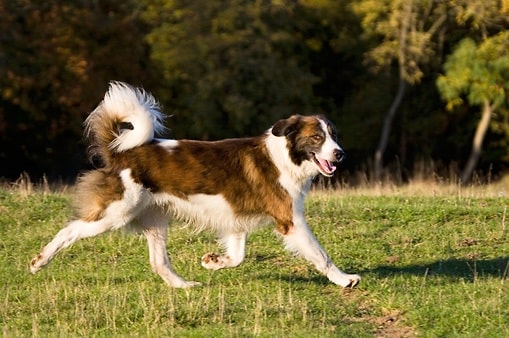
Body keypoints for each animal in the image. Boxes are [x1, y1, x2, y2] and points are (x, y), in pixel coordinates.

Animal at [28, 82, 362, 288]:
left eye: (334, 135)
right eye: (317, 138)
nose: (340, 153)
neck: (285, 157)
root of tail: (121, 152)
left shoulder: (235, 219)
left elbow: (237, 257)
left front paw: (213, 261)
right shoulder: (290, 220)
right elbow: (321, 255)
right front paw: (344, 279)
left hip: (155, 219)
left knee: (159, 262)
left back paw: (184, 286)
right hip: (115, 212)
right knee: (69, 231)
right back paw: (39, 261)